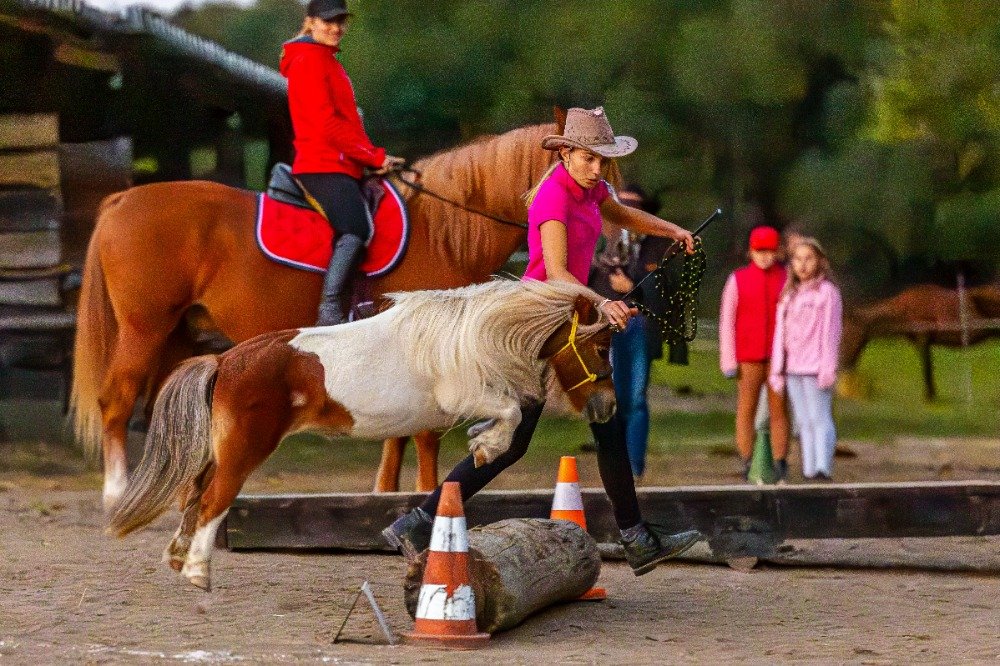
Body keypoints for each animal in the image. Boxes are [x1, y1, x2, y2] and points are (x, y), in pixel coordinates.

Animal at [76, 119, 564, 506]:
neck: (440, 230)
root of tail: (122, 200)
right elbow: (423, 431)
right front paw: (426, 491)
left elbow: (400, 427)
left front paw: (386, 491)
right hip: (143, 328)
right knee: (117, 401)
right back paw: (118, 493)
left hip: (179, 334)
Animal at [105, 278, 612, 588]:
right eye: (603, 346)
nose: (607, 407)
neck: (471, 335)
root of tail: (225, 360)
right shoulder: (463, 396)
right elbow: (507, 414)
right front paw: (487, 445)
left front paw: (483, 441)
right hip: (243, 453)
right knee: (212, 500)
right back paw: (198, 574)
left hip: (220, 453)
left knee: (193, 495)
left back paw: (178, 559)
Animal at [840, 282, 1000, 400]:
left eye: (847, 334)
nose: (843, 363)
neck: (904, 309)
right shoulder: (921, 343)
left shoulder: (923, 339)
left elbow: (926, 368)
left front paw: (929, 395)